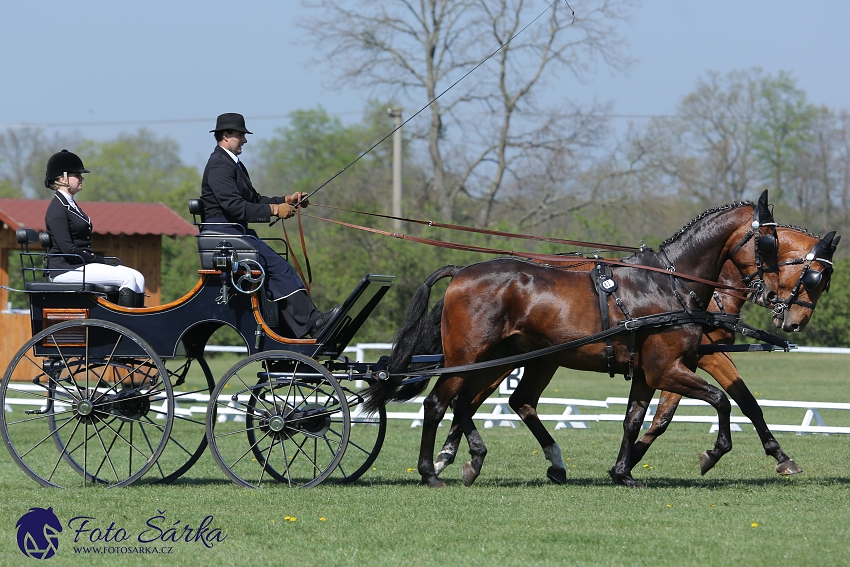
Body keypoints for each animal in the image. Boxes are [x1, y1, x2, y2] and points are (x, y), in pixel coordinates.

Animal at [362, 191, 808, 488]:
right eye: (769, 241)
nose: (775, 297)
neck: (669, 284)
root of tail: (462, 271)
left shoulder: (648, 373)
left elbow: (634, 419)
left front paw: (623, 472)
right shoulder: (666, 368)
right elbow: (722, 400)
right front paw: (713, 453)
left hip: (515, 358)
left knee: (483, 403)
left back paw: (496, 460)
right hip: (469, 356)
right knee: (440, 404)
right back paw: (431, 471)